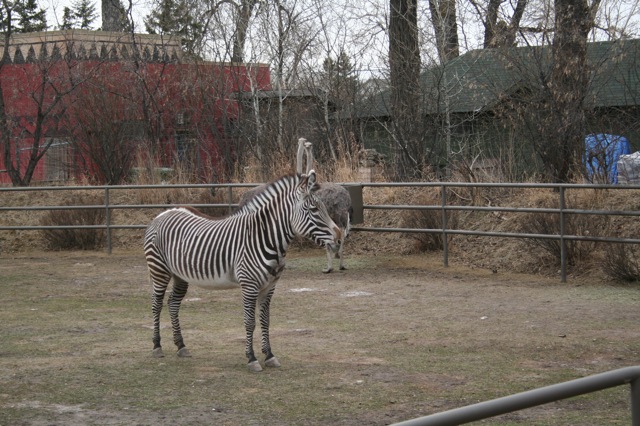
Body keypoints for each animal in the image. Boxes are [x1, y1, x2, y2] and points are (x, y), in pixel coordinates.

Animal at [144, 170, 341, 372]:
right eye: (313, 210)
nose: (339, 238)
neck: (265, 238)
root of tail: (163, 213)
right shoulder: (249, 285)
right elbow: (250, 321)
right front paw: (252, 358)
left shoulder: (269, 287)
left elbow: (265, 320)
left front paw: (269, 355)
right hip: (159, 270)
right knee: (156, 305)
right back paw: (157, 346)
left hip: (179, 275)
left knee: (173, 304)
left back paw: (181, 346)